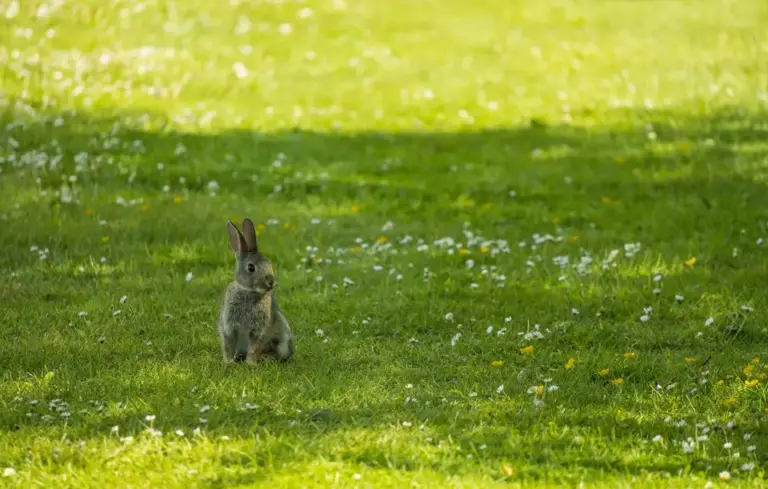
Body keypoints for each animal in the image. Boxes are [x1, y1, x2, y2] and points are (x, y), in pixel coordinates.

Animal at [217, 218, 295, 363]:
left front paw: (250, 363)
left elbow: (254, 347)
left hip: (283, 338)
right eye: (251, 268)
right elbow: (228, 344)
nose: (271, 282)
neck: (248, 292)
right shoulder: (229, 326)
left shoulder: (258, 330)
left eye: (269, 263)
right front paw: (229, 362)